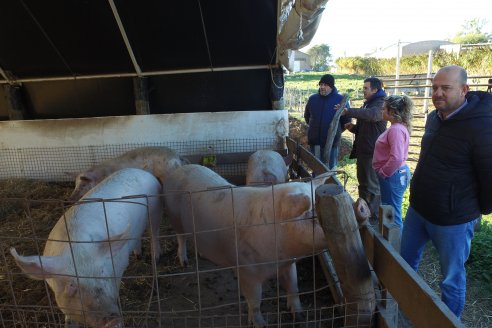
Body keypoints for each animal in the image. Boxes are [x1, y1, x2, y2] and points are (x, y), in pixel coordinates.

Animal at [9, 168, 162, 326]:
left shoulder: (119, 266)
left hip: (155, 208)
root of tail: (141, 170)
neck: (76, 247)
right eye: (71, 285)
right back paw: (138, 255)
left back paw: (155, 257)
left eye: (102, 272)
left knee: (154, 232)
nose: (111, 320)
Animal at [163, 165, 332, 326]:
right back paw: (184, 263)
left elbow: (293, 288)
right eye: (312, 216)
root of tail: (177, 170)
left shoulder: (288, 264)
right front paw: (260, 324)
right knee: (181, 238)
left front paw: (300, 316)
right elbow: (255, 301)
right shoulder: (248, 272)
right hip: (175, 218)